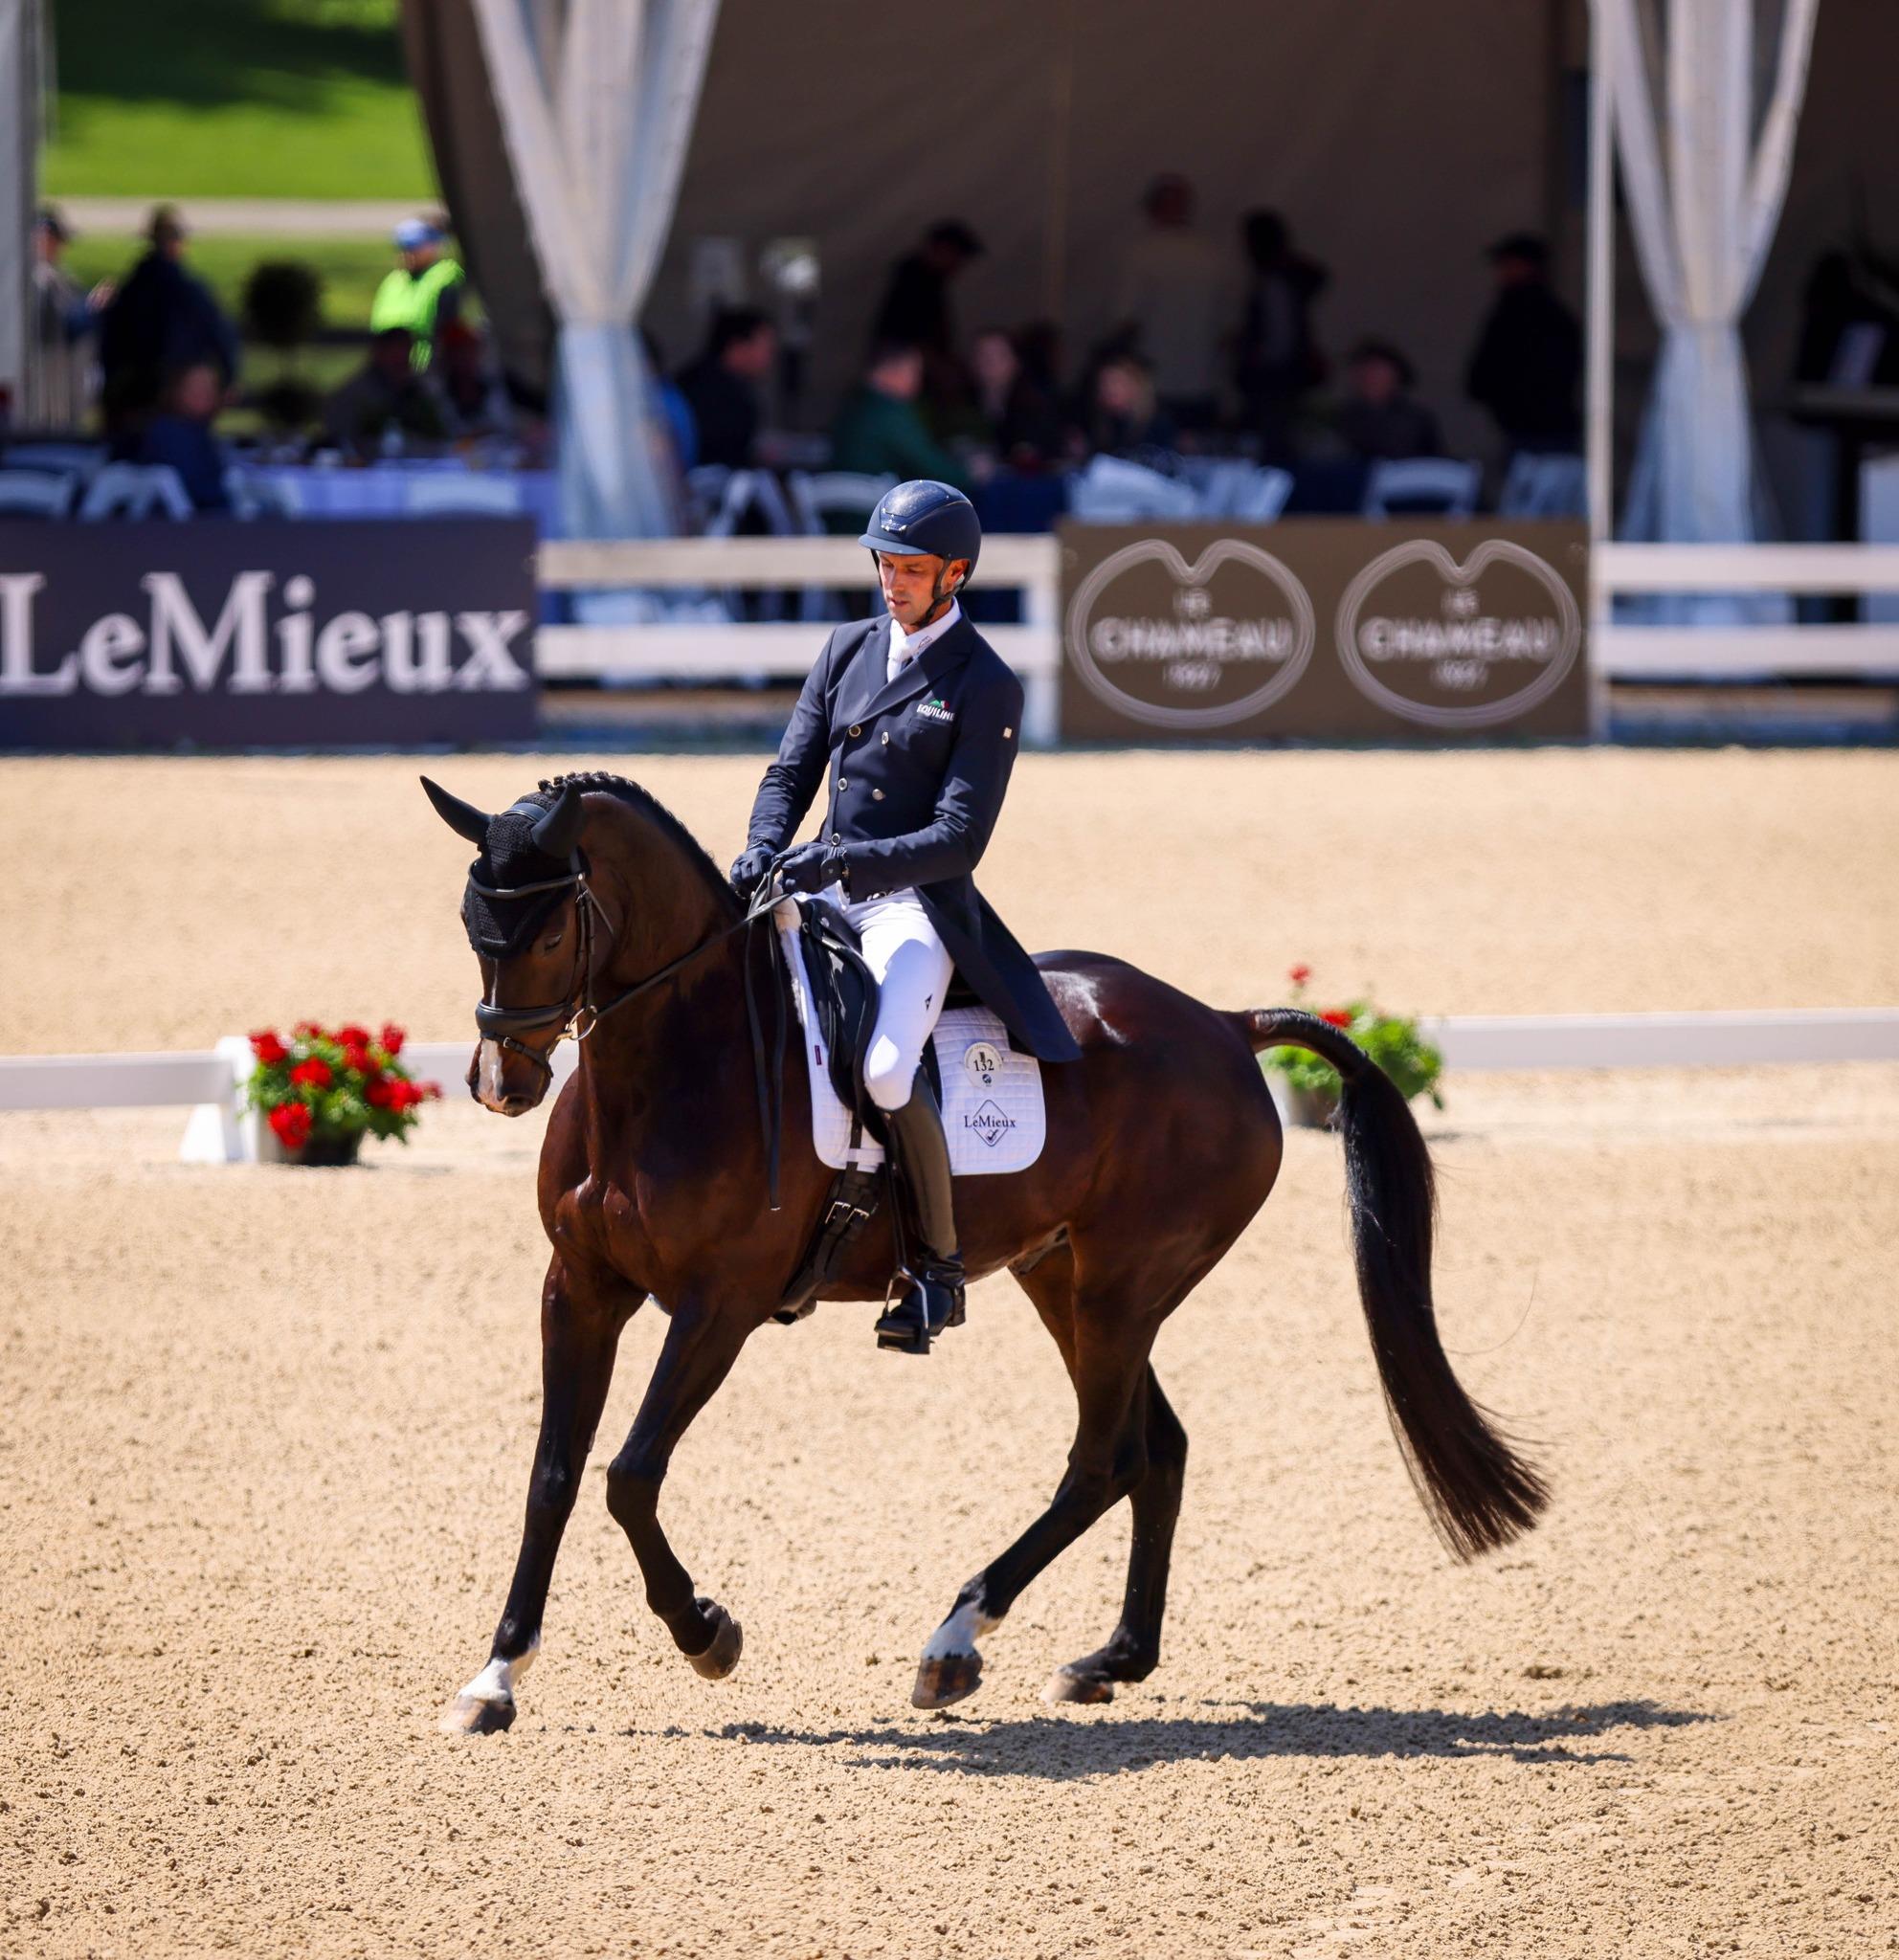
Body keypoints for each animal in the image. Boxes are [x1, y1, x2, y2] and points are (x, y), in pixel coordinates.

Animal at [425, 764, 1544, 1732]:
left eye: (550, 926)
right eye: (473, 925)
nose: (500, 1083)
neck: (675, 1064)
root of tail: (1225, 1025)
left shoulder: (719, 1305)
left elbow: (629, 1472)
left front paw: (707, 1632)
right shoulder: (578, 1286)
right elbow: (554, 1474)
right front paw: (496, 1674)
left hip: (1122, 1287)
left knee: (1102, 1457)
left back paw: (954, 1641)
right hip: (1067, 1277)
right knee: (1158, 1446)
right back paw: (1110, 1659)